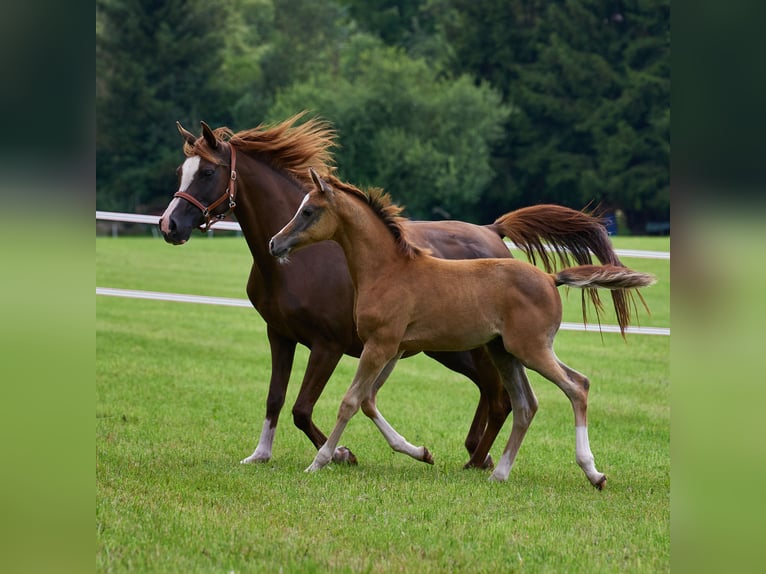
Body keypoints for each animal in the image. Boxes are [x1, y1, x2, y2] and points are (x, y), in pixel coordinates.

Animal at [158, 112, 635, 470]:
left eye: (207, 172)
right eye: (180, 172)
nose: (170, 225)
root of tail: (492, 231)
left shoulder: (329, 345)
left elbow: (305, 408)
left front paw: (340, 454)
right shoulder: (281, 335)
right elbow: (278, 398)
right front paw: (260, 454)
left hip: (474, 349)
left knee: (503, 398)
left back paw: (478, 460)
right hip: (460, 350)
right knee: (497, 395)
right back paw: (477, 456)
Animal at [268, 168, 655, 488]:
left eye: (308, 211)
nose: (275, 243)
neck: (388, 270)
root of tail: (550, 278)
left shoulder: (380, 345)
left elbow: (349, 401)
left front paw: (320, 462)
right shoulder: (392, 349)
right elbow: (368, 399)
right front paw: (419, 451)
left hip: (530, 349)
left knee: (576, 387)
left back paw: (592, 472)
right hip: (505, 352)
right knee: (526, 404)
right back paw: (499, 473)